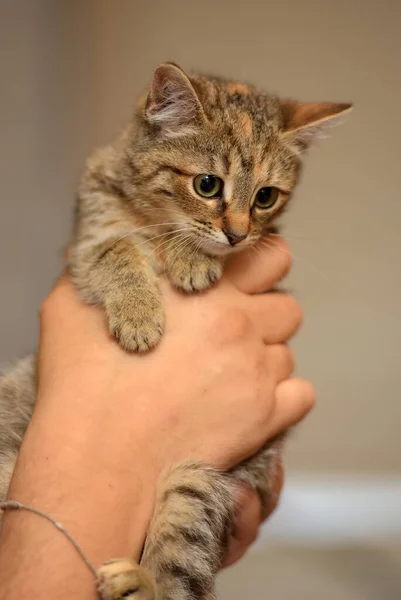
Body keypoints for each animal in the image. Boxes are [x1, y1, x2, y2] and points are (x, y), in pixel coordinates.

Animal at [0, 63, 350, 596]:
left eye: (265, 197)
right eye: (207, 185)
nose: (237, 234)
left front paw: (191, 259)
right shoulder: (87, 239)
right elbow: (117, 249)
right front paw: (140, 314)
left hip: (198, 484)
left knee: (178, 578)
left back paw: (135, 580)